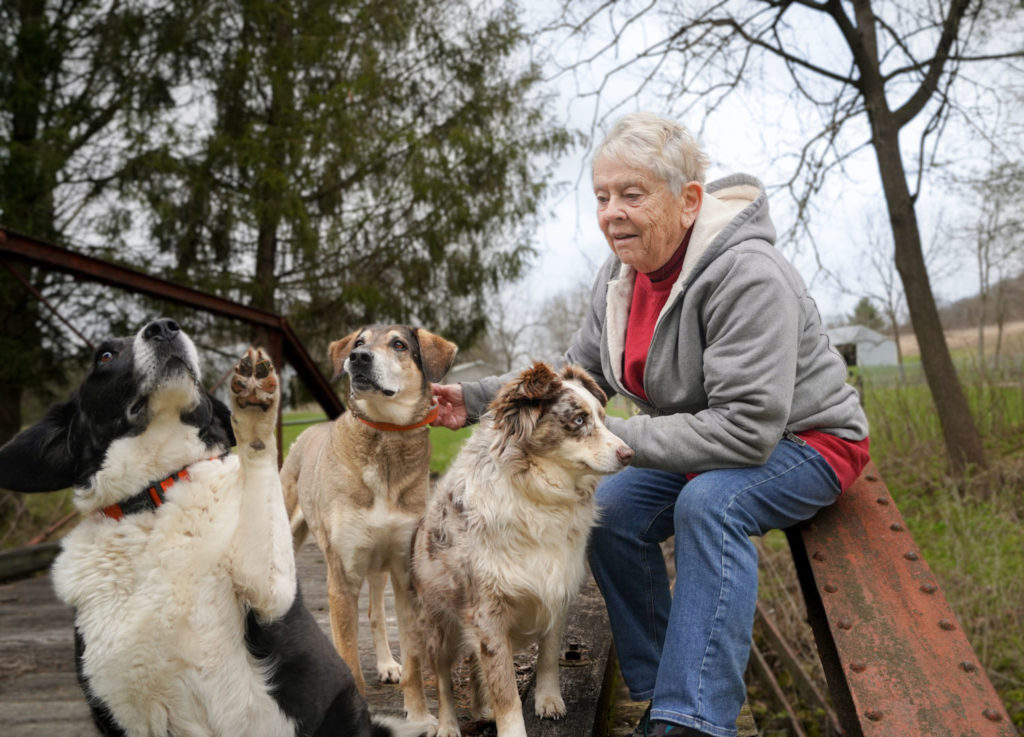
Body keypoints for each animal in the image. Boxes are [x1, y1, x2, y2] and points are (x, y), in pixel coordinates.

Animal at [0, 319, 428, 737]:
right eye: (104, 355)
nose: (163, 327)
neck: (153, 499)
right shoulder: (122, 708)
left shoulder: (273, 593)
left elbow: (256, 471)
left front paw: (255, 405)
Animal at [280, 323, 456, 724]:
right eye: (359, 342)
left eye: (399, 345)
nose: (357, 358)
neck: (386, 434)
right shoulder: (342, 579)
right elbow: (349, 661)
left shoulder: (404, 573)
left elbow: (413, 660)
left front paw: (419, 716)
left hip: (379, 565)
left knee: (376, 614)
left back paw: (386, 663)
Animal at [407, 362, 630, 737]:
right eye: (579, 420)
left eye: (602, 417)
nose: (629, 454)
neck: (540, 494)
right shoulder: (487, 612)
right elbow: (505, 688)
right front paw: (511, 726)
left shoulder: (557, 590)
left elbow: (548, 656)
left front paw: (548, 700)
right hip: (438, 622)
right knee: (443, 677)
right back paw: (449, 724)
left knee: (473, 663)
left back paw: (482, 709)